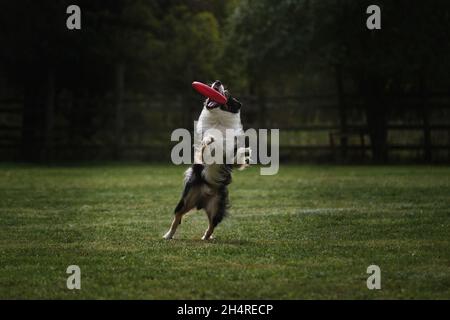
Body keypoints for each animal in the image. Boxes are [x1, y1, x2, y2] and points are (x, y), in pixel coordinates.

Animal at [163, 80, 251, 240]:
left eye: (226, 94)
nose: (217, 82)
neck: (218, 121)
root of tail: (203, 199)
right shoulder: (201, 154)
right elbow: (206, 146)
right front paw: (209, 139)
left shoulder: (230, 157)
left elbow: (236, 158)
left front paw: (245, 152)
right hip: (187, 199)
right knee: (177, 216)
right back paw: (168, 235)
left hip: (216, 206)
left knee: (212, 224)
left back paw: (206, 237)